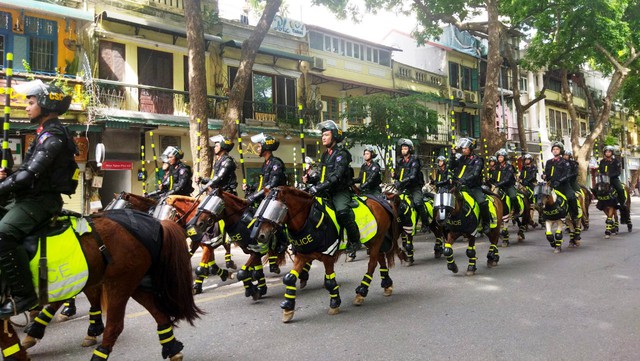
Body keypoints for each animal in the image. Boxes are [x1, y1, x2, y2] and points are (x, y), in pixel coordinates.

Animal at [254, 186, 400, 320]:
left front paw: (334, 303)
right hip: (372, 240)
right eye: (262, 206)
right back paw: (387, 285)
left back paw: (361, 292)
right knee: (380, 258)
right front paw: (288, 308)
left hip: (376, 240)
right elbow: (290, 278)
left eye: (274, 209)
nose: (261, 235)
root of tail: (381, 201)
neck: (309, 219)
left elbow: (330, 281)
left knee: (372, 264)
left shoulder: (328, 257)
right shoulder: (302, 255)